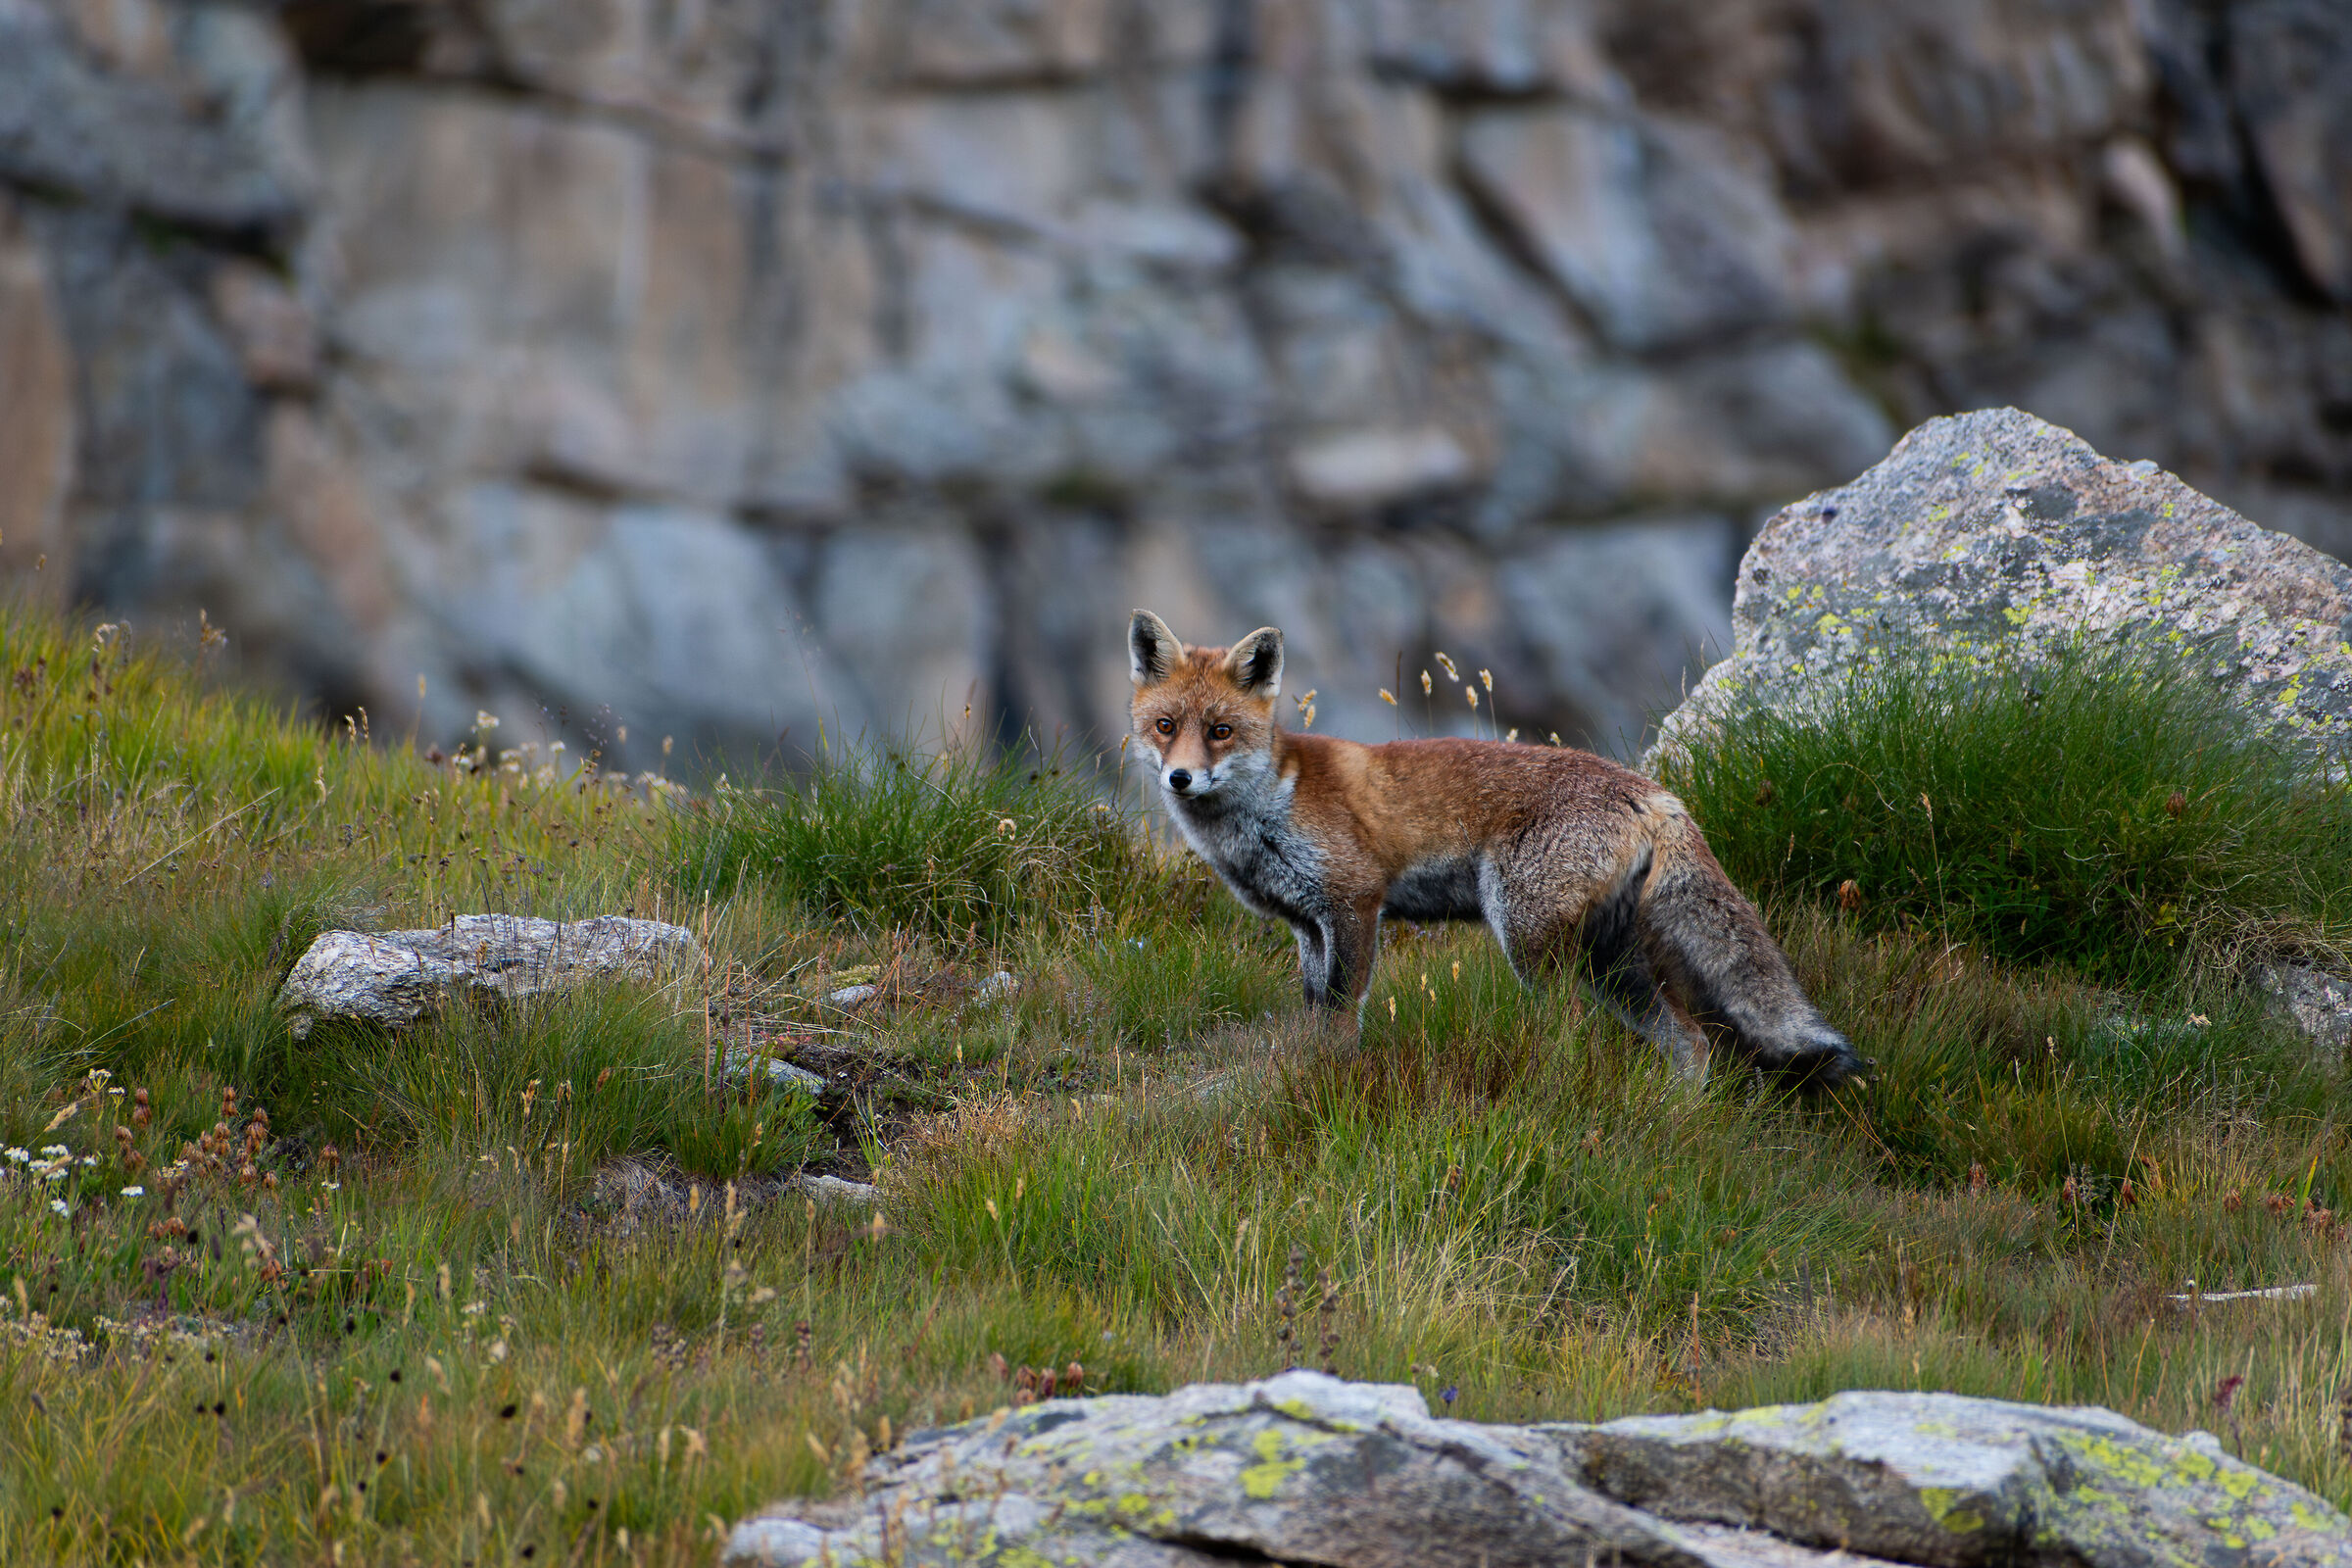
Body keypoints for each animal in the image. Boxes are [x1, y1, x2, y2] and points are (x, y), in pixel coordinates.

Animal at [1126, 610, 1866, 1089]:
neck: (1267, 809)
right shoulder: (1309, 925)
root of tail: (1653, 792)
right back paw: (1674, 1119)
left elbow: (1343, 1013)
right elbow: (1317, 1010)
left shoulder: (1355, 904)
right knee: (1690, 1041)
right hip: (1609, 963)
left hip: (1531, 941)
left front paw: (1332, 1081)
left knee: (1578, 1029)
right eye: (1165, 726)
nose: (1180, 778)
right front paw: (1312, 1068)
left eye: (1220, 731)